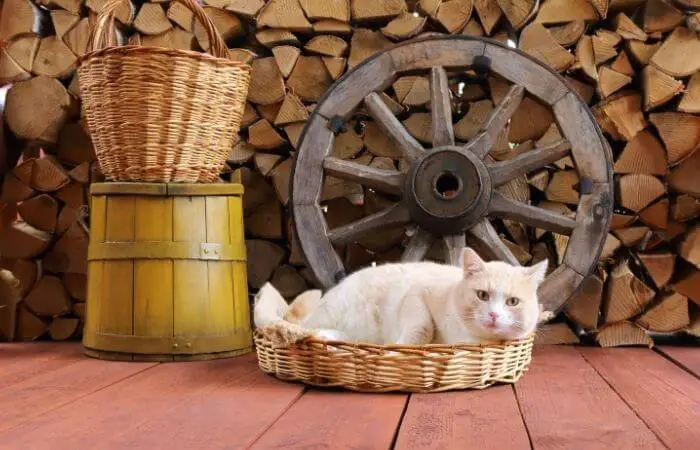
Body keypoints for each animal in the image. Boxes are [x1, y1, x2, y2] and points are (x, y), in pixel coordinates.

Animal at [253, 248, 552, 346]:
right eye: (482, 295)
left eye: (512, 302)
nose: (493, 314)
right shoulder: (417, 293)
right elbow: (422, 328)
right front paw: (401, 346)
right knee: (308, 330)